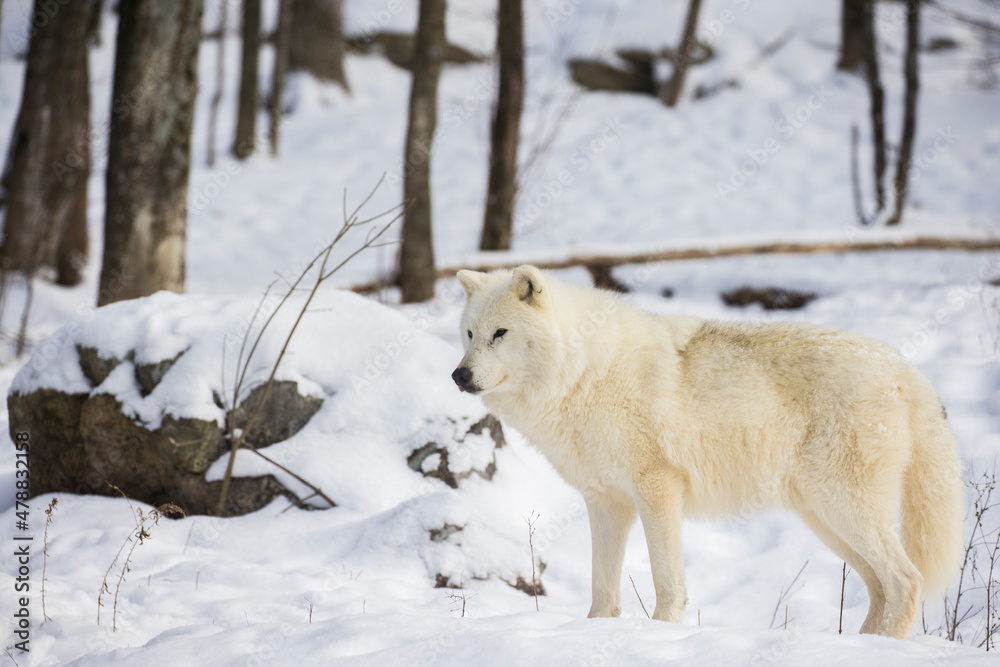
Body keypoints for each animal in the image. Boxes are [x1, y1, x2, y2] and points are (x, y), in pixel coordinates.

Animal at [451, 265, 964, 639]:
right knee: (879, 587)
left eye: (500, 333)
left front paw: (660, 635)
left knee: (905, 581)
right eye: (469, 334)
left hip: (844, 509)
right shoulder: (606, 503)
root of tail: (906, 369)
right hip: (826, 519)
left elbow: (667, 583)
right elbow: (602, 592)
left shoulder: (657, 488)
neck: (583, 373)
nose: (459, 376)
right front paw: (594, 634)